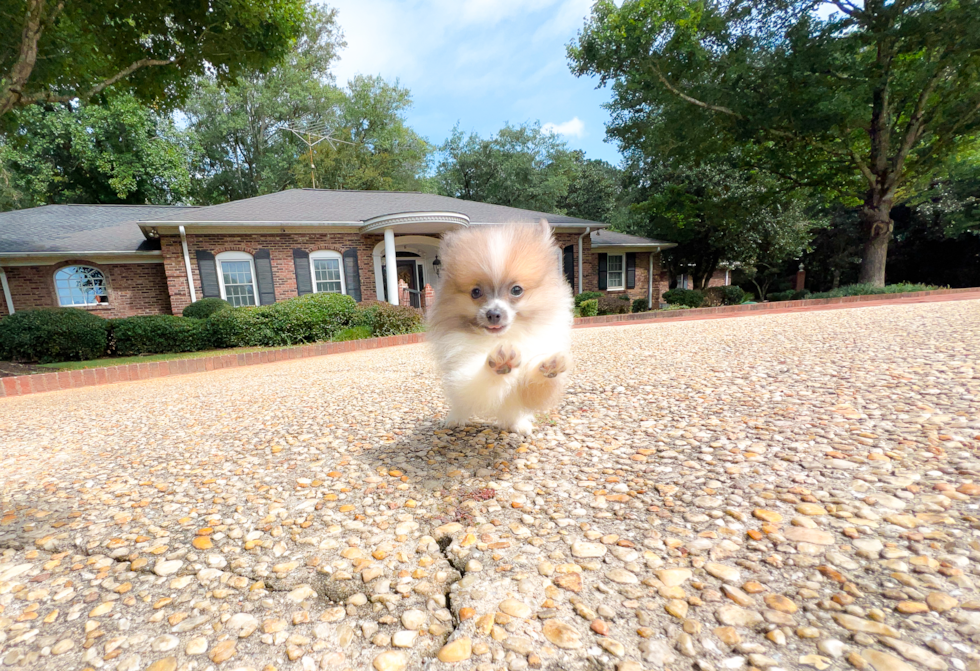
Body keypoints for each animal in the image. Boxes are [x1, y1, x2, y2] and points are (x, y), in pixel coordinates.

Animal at [428, 222, 576, 436]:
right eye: (476, 292)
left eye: (516, 290)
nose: (493, 314)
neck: (504, 337)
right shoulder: (463, 367)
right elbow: (475, 381)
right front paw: (500, 361)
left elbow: (534, 386)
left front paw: (549, 365)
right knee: (460, 402)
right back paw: (455, 419)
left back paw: (518, 424)